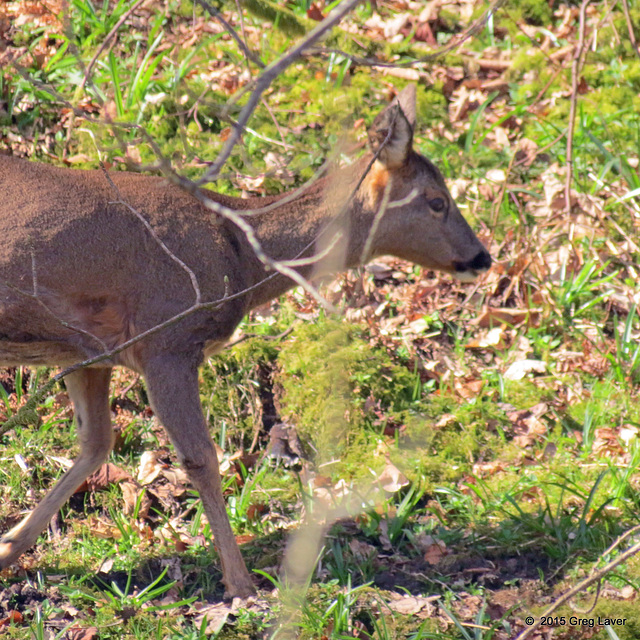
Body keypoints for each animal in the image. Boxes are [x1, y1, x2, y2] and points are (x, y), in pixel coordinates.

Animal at [0, 86, 490, 600]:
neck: (242, 259)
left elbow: (95, 444)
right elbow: (201, 460)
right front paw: (241, 583)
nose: (483, 257)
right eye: (436, 201)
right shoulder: (168, 339)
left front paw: (8, 549)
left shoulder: (93, 351)